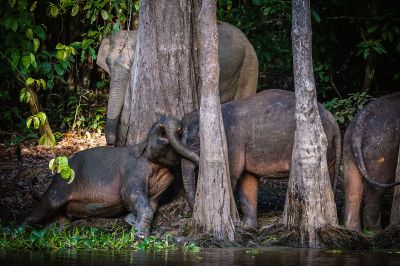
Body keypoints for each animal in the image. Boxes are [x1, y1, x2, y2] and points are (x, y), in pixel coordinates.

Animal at [24, 116, 198, 235]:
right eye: (158, 126)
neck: (157, 164)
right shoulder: (132, 168)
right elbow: (129, 193)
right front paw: (140, 235)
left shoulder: (167, 178)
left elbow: (152, 202)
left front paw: (131, 222)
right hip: (60, 185)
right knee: (45, 207)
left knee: (59, 221)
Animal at [162, 89, 340, 229]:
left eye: (195, 145)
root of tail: (333, 121)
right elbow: (247, 181)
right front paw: (249, 227)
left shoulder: (232, 142)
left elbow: (232, 177)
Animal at [344, 92, 400, 234]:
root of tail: (358, 129)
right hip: (381, 148)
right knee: (377, 189)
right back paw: (376, 232)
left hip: (348, 148)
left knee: (353, 187)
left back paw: (354, 232)